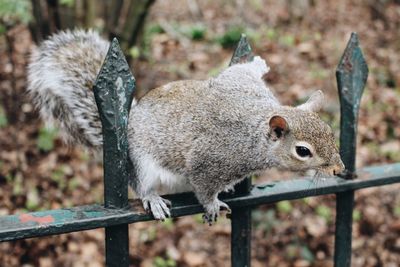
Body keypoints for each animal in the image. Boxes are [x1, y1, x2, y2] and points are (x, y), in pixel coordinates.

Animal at [26, 30, 344, 224]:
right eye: (303, 151)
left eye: (330, 133)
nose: (339, 169)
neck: (255, 128)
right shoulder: (211, 159)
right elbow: (203, 186)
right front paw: (212, 205)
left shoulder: (242, 86)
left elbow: (239, 71)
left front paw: (258, 63)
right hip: (141, 163)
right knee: (141, 185)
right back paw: (154, 198)